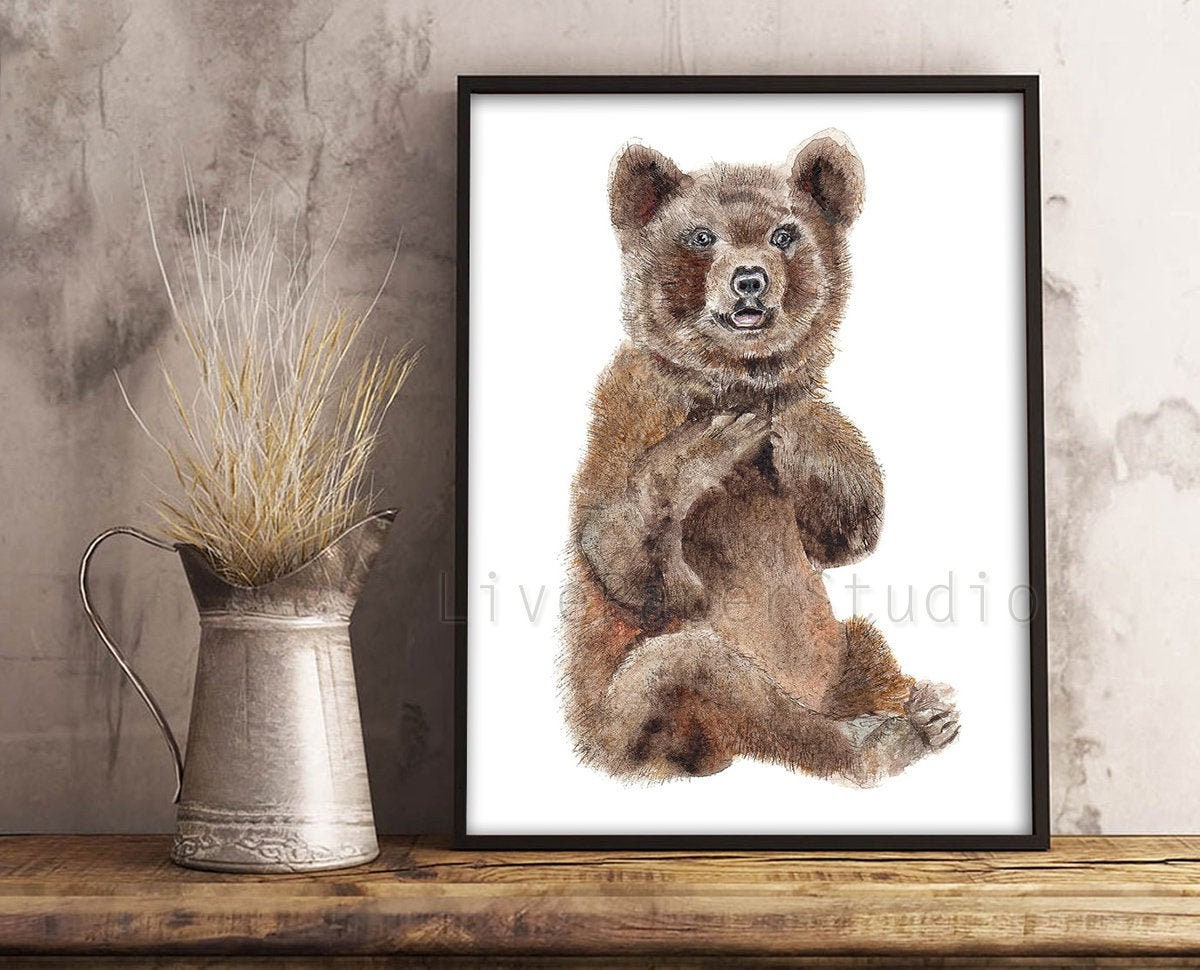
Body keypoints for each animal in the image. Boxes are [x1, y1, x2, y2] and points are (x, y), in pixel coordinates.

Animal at [560, 129, 959, 786]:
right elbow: (619, 550)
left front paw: (797, 425)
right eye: (701, 236)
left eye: (784, 233)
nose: (749, 279)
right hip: (632, 714)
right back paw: (885, 741)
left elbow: (843, 529)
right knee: (710, 672)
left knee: (863, 644)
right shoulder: (630, 411)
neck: (732, 381)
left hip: (840, 653)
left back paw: (921, 709)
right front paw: (701, 455)